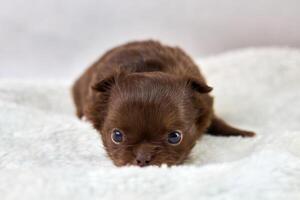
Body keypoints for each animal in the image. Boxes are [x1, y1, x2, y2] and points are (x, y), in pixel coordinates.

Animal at [71, 40, 254, 167]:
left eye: (174, 137)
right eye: (117, 136)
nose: (143, 159)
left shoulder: (206, 106)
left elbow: (217, 122)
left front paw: (243, 133)